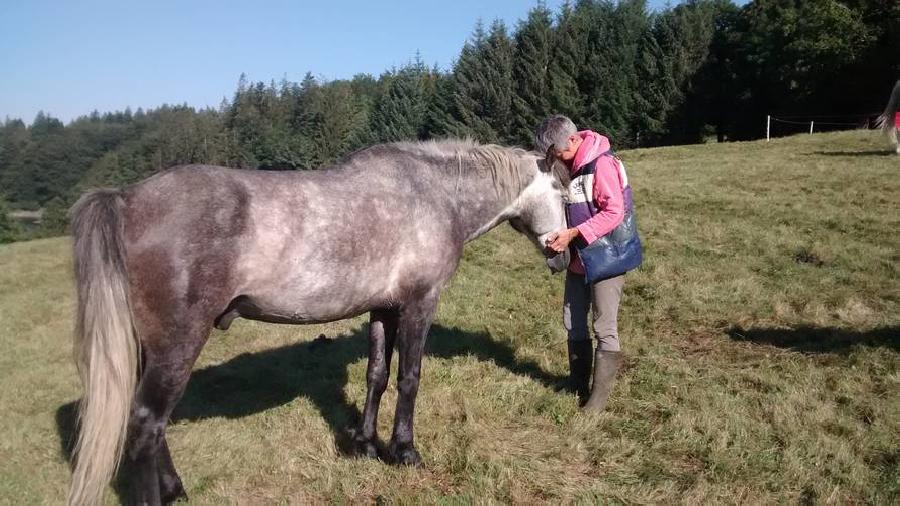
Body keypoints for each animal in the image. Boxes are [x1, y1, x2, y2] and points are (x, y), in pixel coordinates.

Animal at [67, 136, 568, 504]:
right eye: (563, 193)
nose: (563, 255)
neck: (433, 193)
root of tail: (126, 199)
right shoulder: (419, 304)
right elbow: (409, 378)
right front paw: (404, 451)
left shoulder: (384, 308)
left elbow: (377, 375)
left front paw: (364, 444)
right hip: (178, 344)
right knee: (147, 424)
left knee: (151, 425)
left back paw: (175, 488)